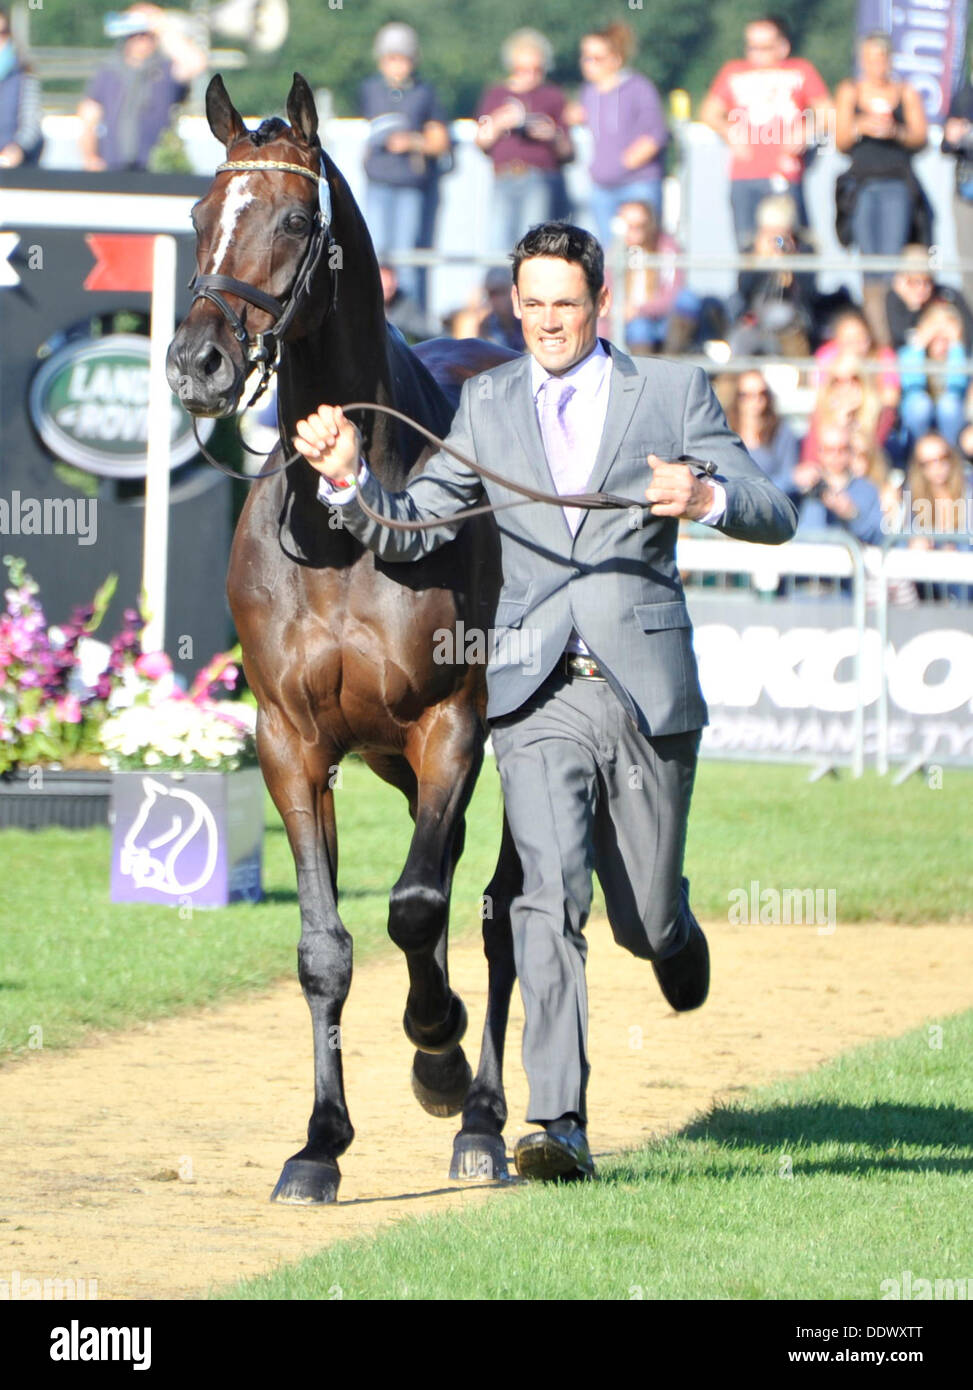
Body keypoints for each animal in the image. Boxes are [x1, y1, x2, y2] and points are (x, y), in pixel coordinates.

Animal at [165, 78, 525, 1206]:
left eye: (292, 221)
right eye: (199, 213)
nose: (198, 363)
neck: (342, 529)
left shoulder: (451, 725)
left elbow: (414, 907)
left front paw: (437, 1053)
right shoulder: (292, 741)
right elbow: (325, 947)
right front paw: (318, 1144)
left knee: (499, 907)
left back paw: (482, 1118)